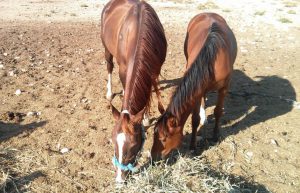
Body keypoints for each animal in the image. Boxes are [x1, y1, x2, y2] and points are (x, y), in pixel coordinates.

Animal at [100, 0, 166, 182]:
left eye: (135, 145)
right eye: (112, 141)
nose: (120, 179)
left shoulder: (153, 69)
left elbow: (149, 92)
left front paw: (146, 116)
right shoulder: (124, 68)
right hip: (107, 49)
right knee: (109, 66)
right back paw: (110, 93)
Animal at [151, 12, 238, 160]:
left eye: (163, 138)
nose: (152, 158)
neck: (213, 59)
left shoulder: (224, 88)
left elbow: (218, 112)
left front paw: (215, 137)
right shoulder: (197, 92)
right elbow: (195, 119)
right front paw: (193, 147)